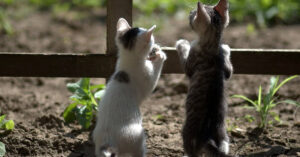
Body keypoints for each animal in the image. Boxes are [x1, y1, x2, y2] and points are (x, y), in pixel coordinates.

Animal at [92, 18, 168, 157]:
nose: (155, 43)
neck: (129, 60)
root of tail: (108, 142)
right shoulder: (147, 80)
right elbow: (154, 77)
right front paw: (160, 54)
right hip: (137, 137)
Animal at [176, 0, 234, 156]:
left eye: (194, 14)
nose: (190, 12)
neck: (212, 46)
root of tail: (208, 137)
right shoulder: (226, 70)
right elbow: (229, 70)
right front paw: (226, 48)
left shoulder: (190, 64)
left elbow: (186, 61)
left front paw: (182, 43)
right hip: (224, 135)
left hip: (187, 133)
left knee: (192, 152)